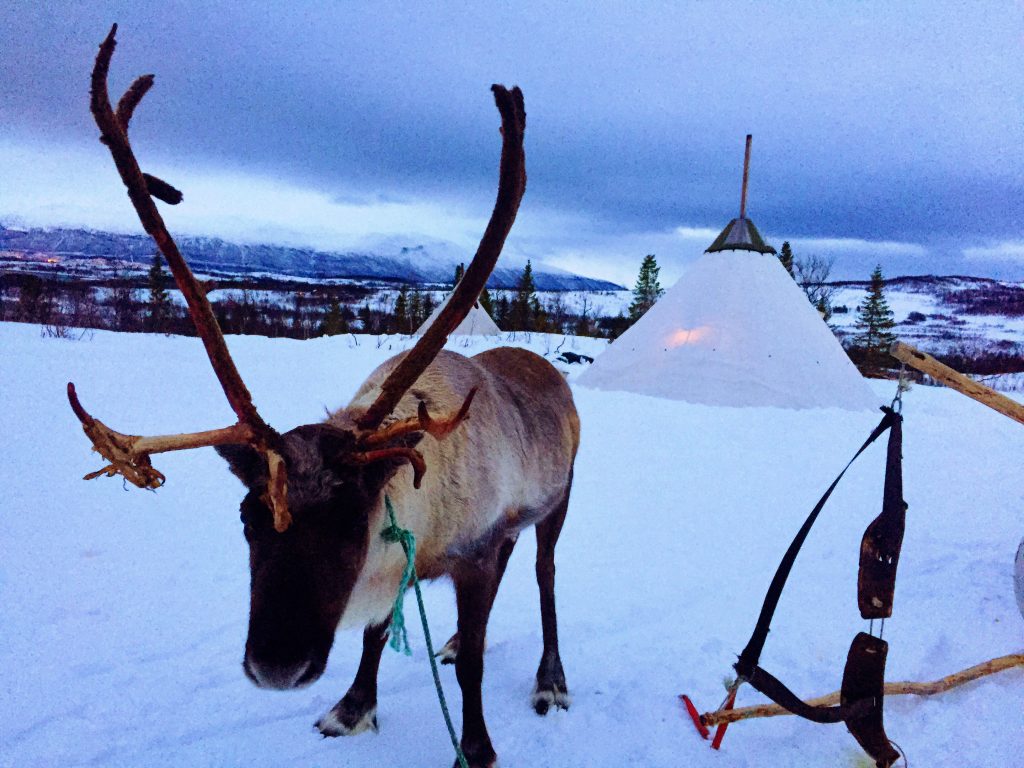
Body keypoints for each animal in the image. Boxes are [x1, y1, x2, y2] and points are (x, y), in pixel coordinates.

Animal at [67, 26, 578, 768]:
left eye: (347, 523)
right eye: (248, 518)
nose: (277, 667)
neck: (421, 520)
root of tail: (548, 369)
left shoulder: (474, 550)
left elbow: (477, 665)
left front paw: (478, 747)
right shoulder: (421, 561)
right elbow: (374, 633)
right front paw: (353, 707)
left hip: (559, 501)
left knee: (543, 576)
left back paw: (551, 679)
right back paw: (454, 642)